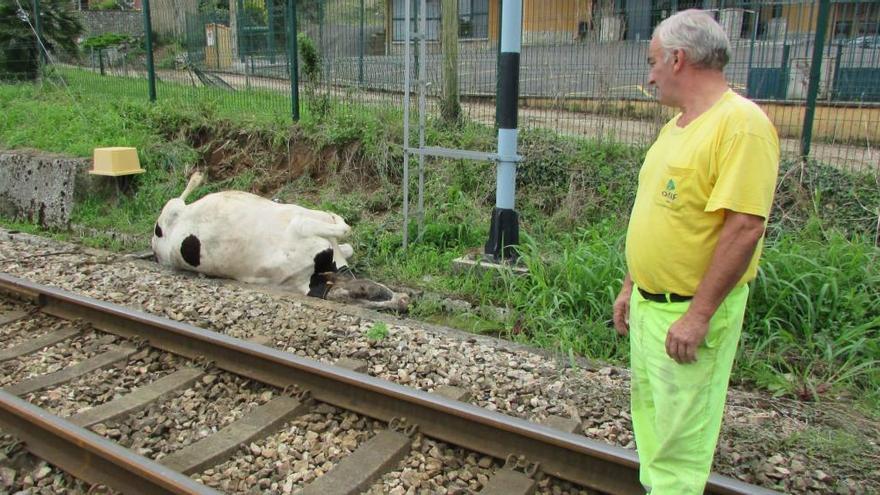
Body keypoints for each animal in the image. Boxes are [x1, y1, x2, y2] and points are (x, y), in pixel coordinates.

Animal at [150, 172, 410, 312]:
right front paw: (337, 219)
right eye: (366, 292)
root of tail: (156, 248)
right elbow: (344, 226)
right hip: (170, 210)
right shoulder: (303, 223)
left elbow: (348, 244)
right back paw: (196, 178)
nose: (404, 302)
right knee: (178, 198)